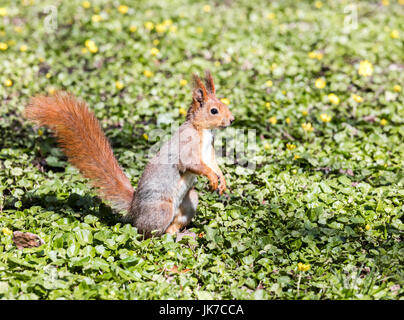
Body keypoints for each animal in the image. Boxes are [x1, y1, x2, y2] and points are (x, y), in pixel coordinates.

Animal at [25, 72, 234, 238]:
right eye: (214, 110)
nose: (232, 119)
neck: (203, 131)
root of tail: (134, 210)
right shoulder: (187, 146)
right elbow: (193, 164)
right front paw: (212, 178)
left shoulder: (209, 153)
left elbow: (213, 165)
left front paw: (221, 180)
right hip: (162, 209)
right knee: (150, 234)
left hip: (190, 201)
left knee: (172, 226)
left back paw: (185, 234)